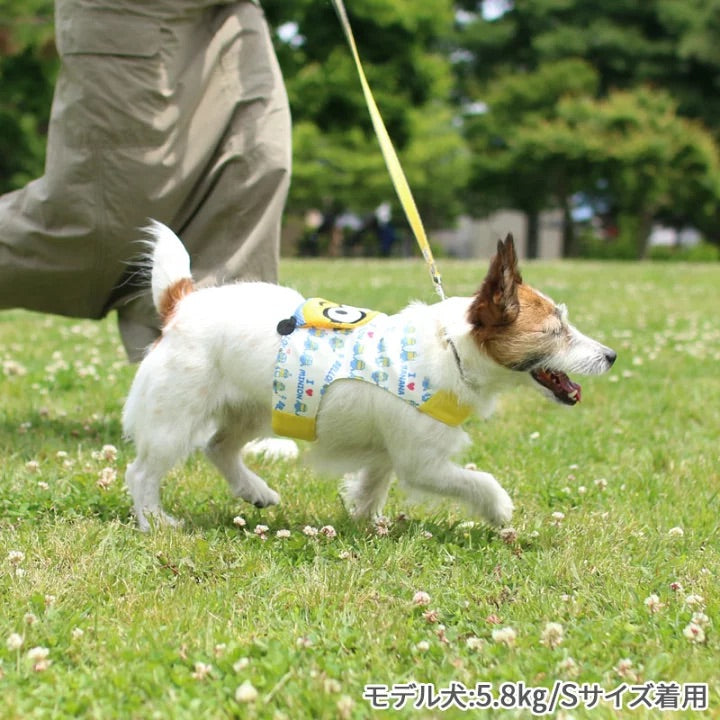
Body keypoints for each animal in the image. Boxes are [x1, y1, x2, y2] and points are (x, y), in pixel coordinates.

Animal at [122, 222, 612, 532]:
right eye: (555, 332)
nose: (611, 355)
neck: (452, 348)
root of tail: (182, 302)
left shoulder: (387, 452)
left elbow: (373, 484)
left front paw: (366, 522)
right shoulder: (423, 463)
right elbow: (477, 480)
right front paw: (499, 511)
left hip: (257, 408)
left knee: (219, 447)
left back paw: (254, 490)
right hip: (175, 417)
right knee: (142, 473)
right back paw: (156, 522)